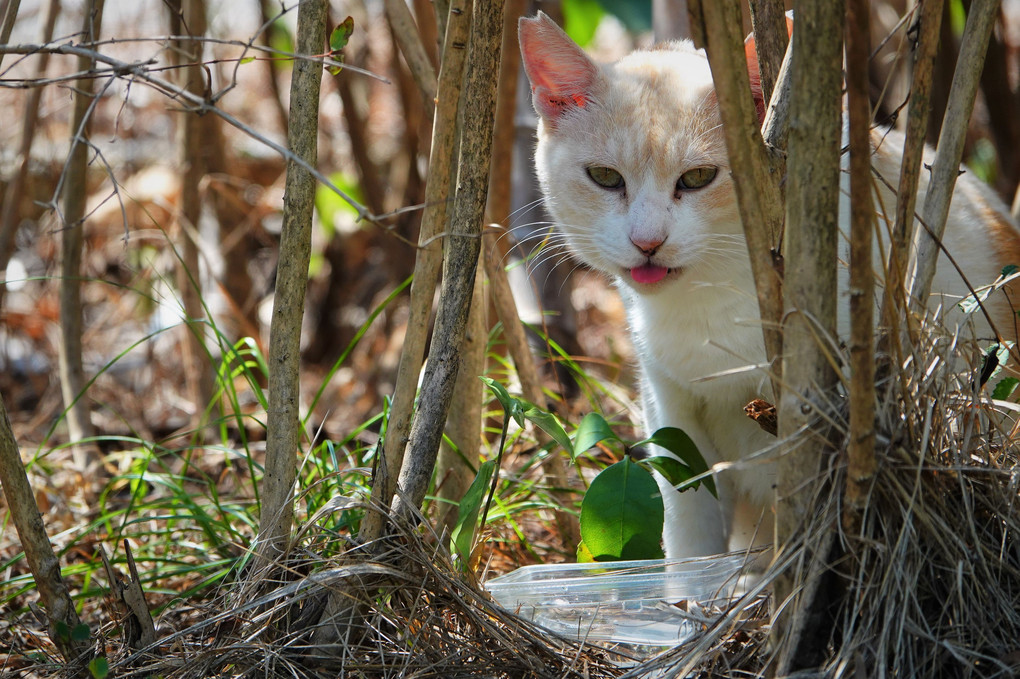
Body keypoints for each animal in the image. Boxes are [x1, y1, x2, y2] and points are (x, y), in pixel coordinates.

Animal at [518, 13, 1020, 558]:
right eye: (605, 177)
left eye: (698, 177)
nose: (647, 241)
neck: (709, 307)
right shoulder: (671, 414)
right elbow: (691, 531)